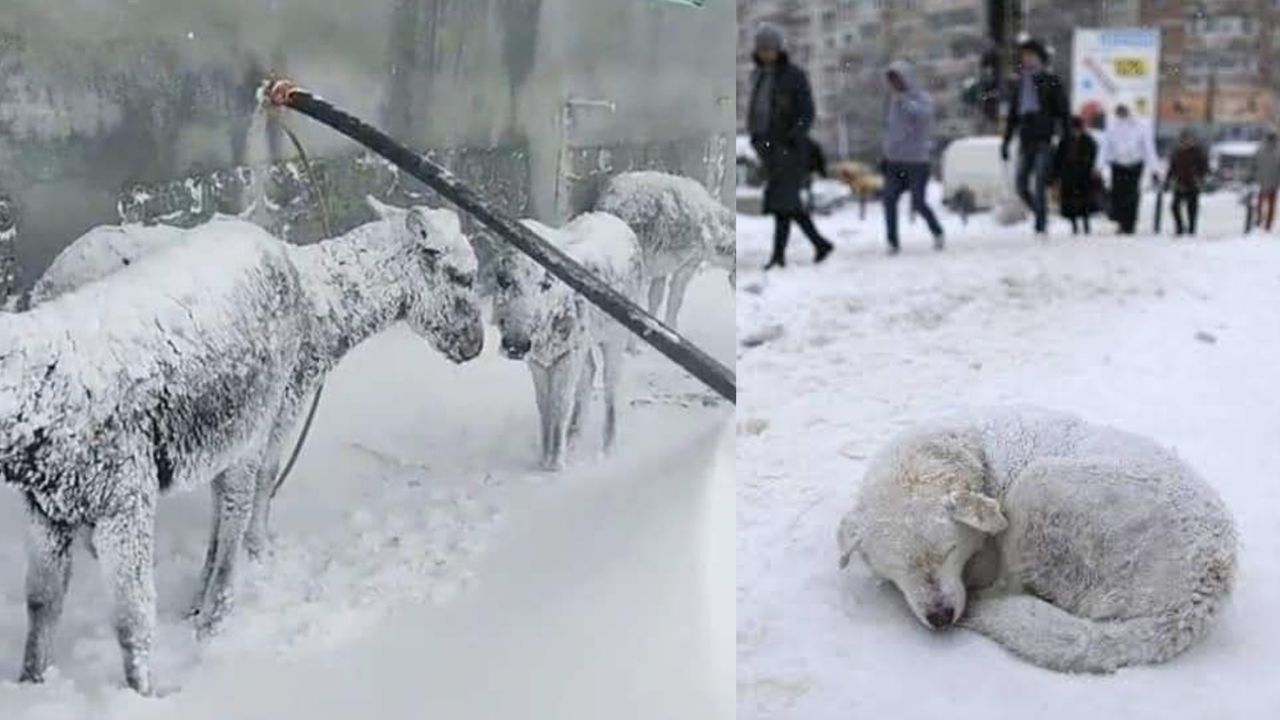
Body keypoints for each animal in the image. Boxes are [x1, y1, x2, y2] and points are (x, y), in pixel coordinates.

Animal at [839, 407, 1239, 671]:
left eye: (950, 550)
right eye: (899, 567)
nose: (941, 617)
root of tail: (1197, 597)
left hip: (1037, 484)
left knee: (1008, 587)